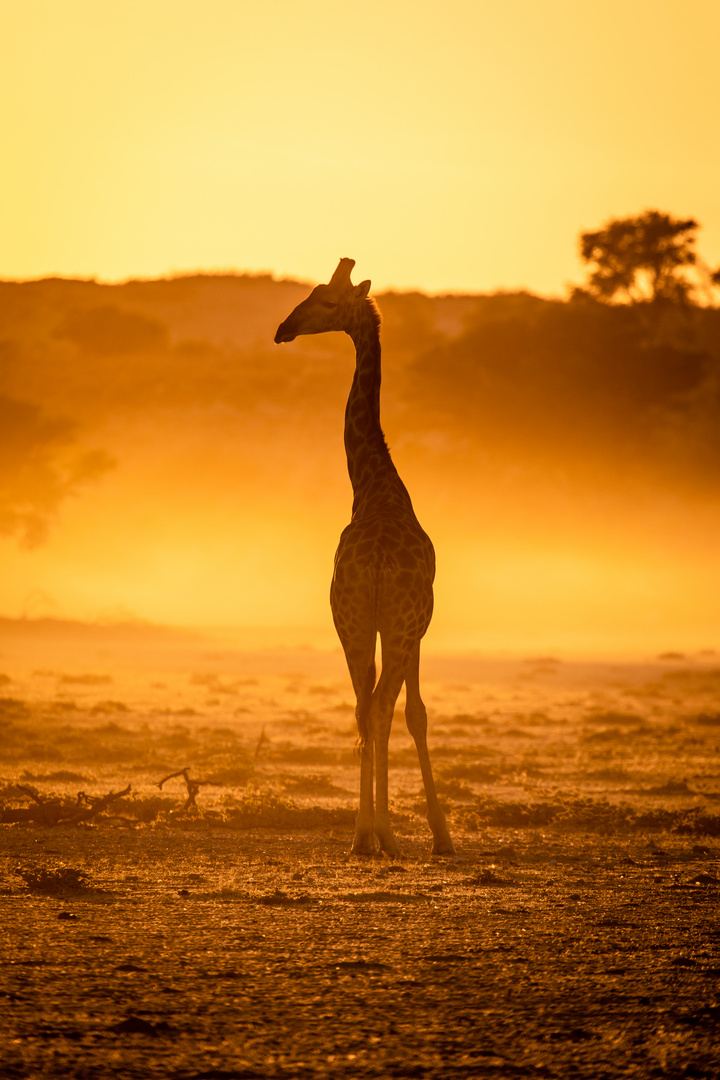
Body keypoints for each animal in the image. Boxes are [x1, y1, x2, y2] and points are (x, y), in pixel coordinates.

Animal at [273, 259, 453, 859]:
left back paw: (361, 836)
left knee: (362, 707)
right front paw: (440, 834)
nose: (283, 329)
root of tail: (374, 563)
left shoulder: (367, 626)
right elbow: (415, 713)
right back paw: (384, 834)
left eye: (326, 300)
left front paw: (381, 830)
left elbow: (381, 712)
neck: (377, 486)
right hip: (393, 626)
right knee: (379, 707)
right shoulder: (417, 627)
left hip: (349, 622)